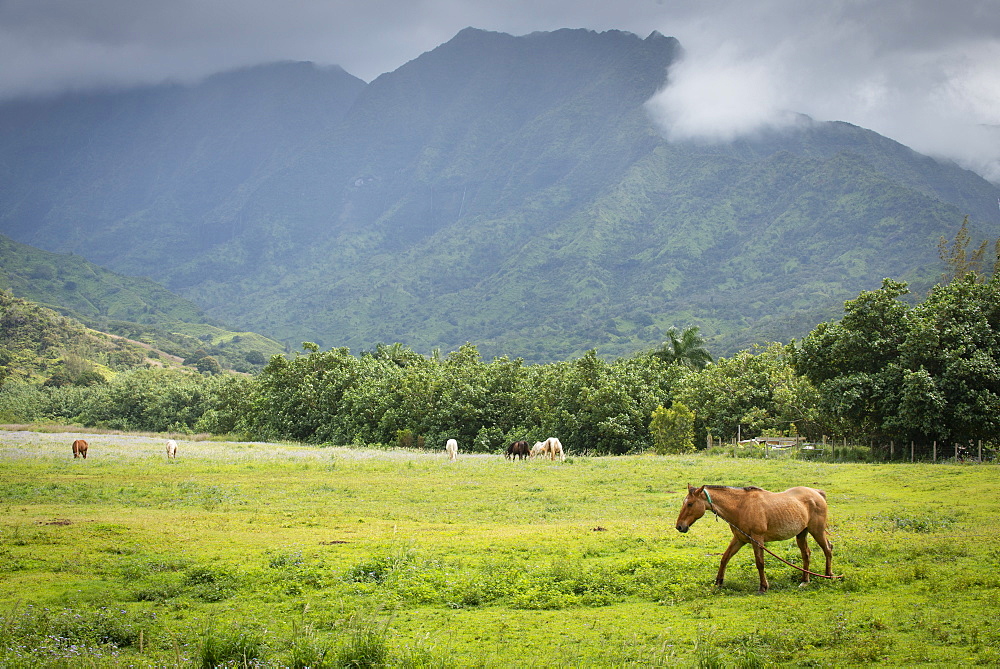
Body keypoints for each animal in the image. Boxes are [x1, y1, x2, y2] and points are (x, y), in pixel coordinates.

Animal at [676, 482, 832, 592]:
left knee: (828, 549)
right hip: (801, 534)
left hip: (817, 531)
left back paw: (829, 575)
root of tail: (817, 493)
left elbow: (760, 563)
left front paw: (763, 586)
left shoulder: (757, 539)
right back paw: (805, 580)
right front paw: (718, 582)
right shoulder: (739, 539)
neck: (741, 506)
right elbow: (725, 558)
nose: (679, 526)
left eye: (690, 504)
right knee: (806, 554)